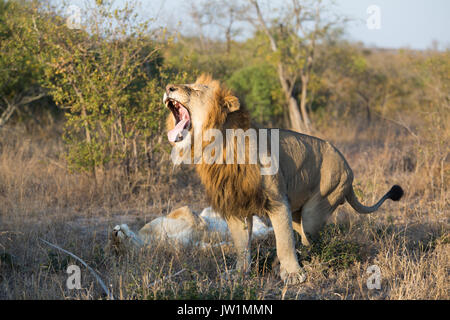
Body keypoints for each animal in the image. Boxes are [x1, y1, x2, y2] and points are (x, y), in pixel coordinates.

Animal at [165, 75, 404, 284]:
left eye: (196, 89)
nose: (168, 87)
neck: (218, 145)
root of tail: (348, 167)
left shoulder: (277, 201)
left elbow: (284, 240)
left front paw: (293, 275)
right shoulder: (236, 205)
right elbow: (241, 245)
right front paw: (239, 273)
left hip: (316, 208)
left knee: (310, 241)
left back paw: (286, 264)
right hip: (300, 212)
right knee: (302, 237)